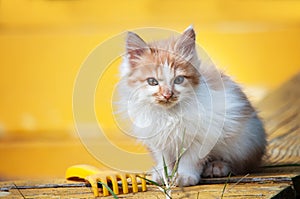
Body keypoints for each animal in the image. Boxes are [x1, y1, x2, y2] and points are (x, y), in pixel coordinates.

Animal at [118, 26, 266, 187]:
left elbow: (190, 159)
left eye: (179, 80)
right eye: (152, 82)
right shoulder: (157, 139)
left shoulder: (203, 135)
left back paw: (216, 167)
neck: (170, 114)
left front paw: (184, 176)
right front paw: (164, 175)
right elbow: (164, 159)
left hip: (244, 141)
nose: (167, 95)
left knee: (241, 163)